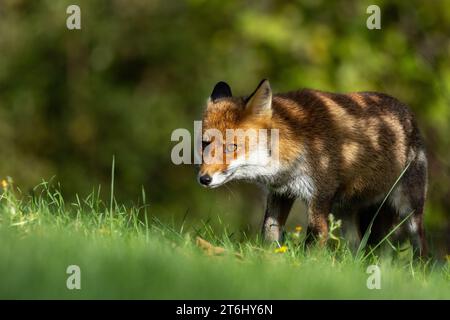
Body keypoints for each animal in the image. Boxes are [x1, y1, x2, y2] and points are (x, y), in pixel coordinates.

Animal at [198, 80, 428, 258]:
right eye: (204, 143)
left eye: (232, 147)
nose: (204, 179)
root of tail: (408, 112)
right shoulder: (281, 193)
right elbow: (269, 234)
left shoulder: (319, 197)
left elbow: (313, 244)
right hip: (346, 213)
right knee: (358, 250)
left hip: (410, 209)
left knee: (421, 246)